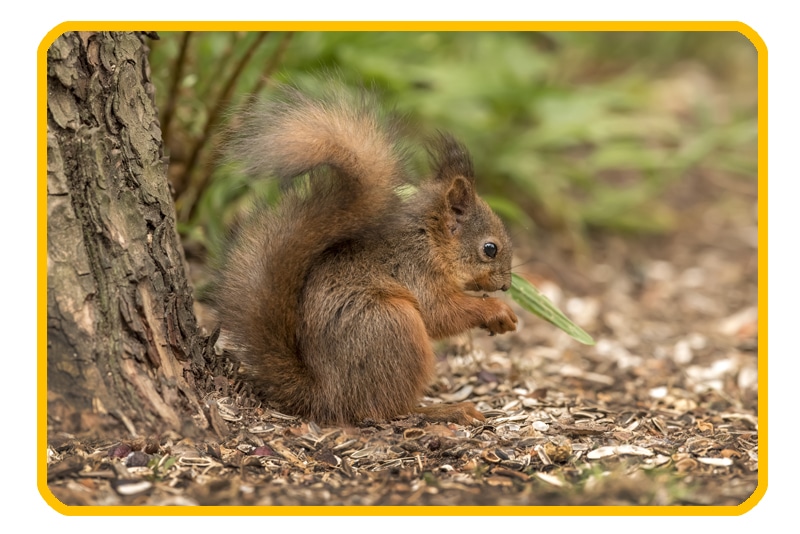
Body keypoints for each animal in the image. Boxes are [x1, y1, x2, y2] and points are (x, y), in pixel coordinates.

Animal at [209, 81, 516, 430]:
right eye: (490, 249)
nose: (506, 285)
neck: (429, 239)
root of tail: (327, 395)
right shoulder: (416, 269)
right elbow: (440, 313)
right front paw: (497, 311)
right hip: (393, 326)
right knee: (387, 409)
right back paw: (445, 410)